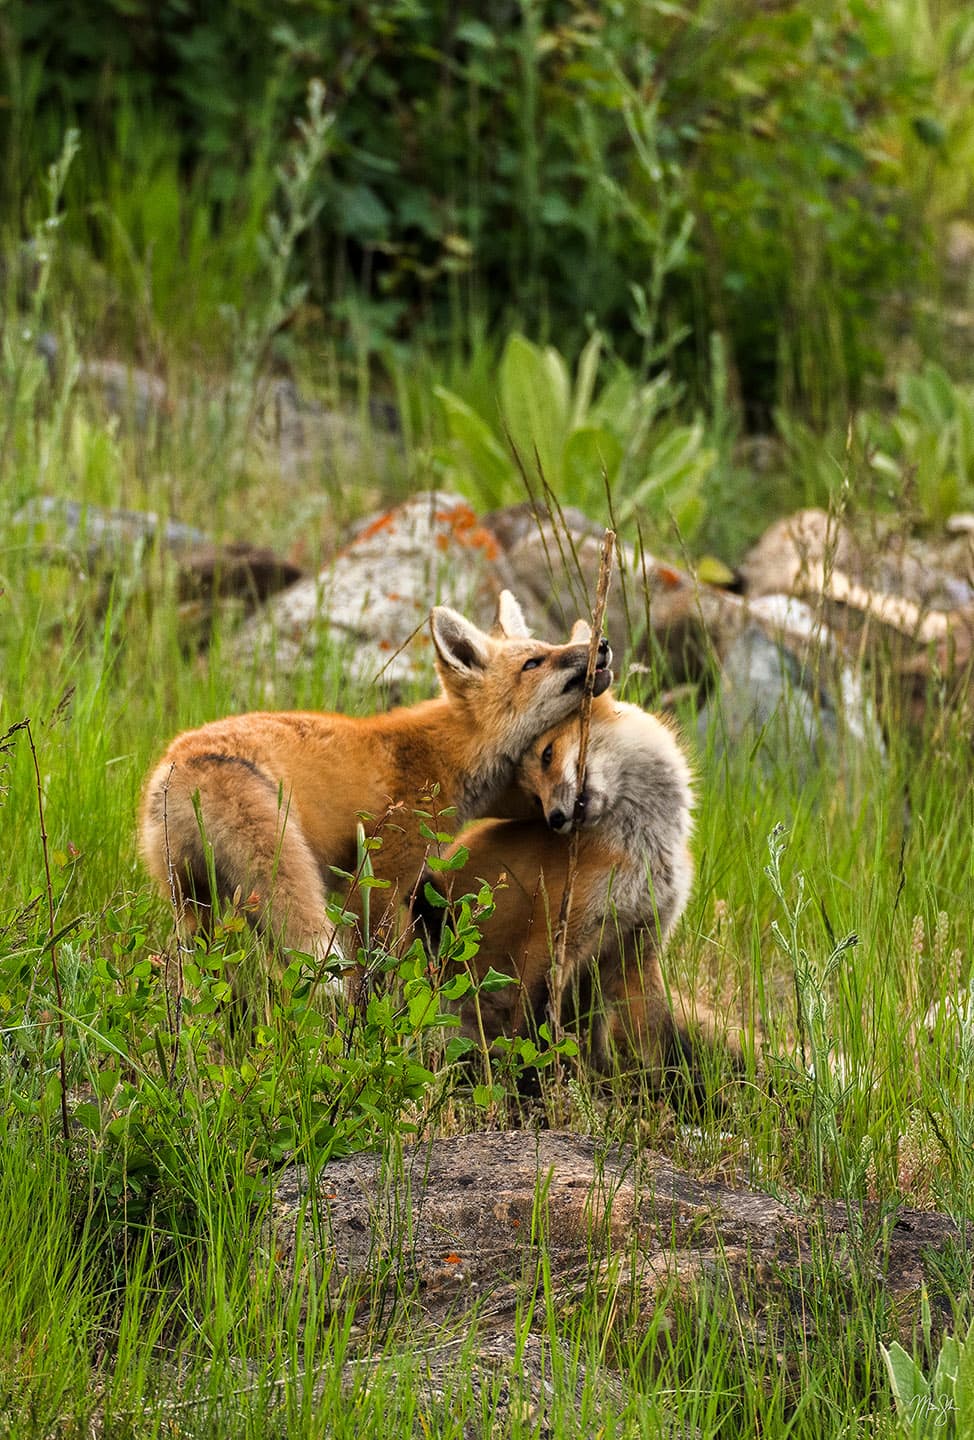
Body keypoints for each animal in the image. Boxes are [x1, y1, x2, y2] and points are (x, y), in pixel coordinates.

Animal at [136, 590, 608, 973]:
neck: (442, 754)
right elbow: (378, 965)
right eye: (534, 663)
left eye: (552, 646)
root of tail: (186, 761)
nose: (601, 645)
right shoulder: (379, 878)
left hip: (193, 906)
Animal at [420, 691, 708, 1082]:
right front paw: (535, 1084)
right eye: (534, 797)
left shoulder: (639, 945)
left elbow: (664, 1041)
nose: (555, 818)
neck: (640, 846)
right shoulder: (552, 938)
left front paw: (680, 1087)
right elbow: (534, 1032)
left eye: (547, 754)